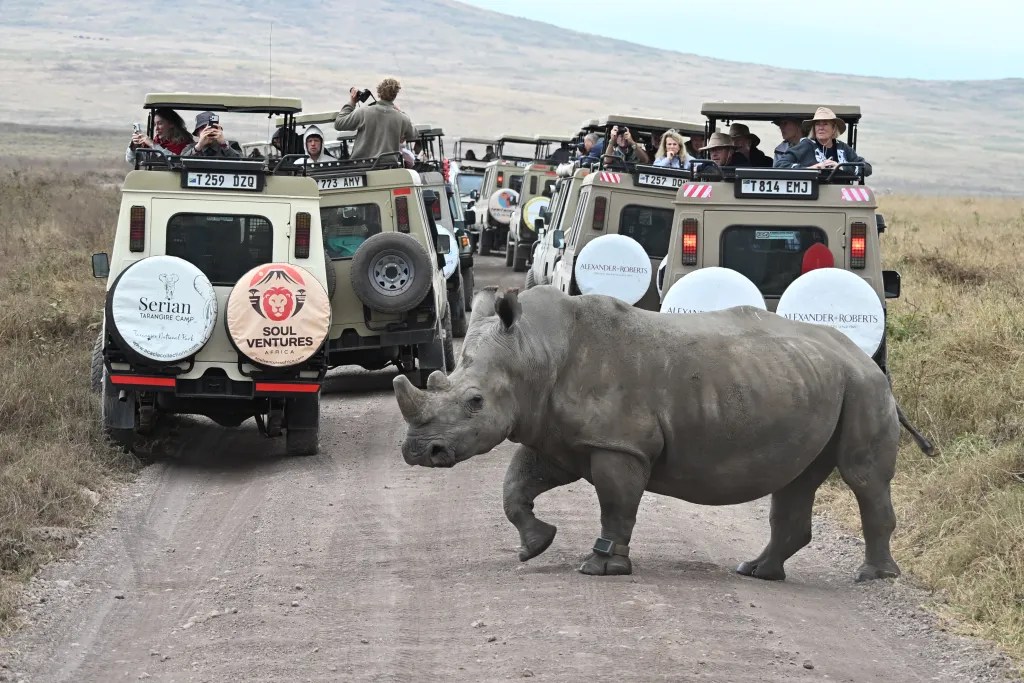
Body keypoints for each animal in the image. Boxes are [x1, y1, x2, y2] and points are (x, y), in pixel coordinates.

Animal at [393, 286, 935, 581]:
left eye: (475, 402)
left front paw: (600, 567)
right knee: (797, 480)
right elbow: (515, 486)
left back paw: (871, 577)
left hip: (863, 388)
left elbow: (616, 506)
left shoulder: (619, 445)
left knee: (862, 477)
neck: (533, 350)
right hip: (817, 383)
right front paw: (534, 546)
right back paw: (757, 571)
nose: (419, 451)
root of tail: (866, 359)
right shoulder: (558, 436)